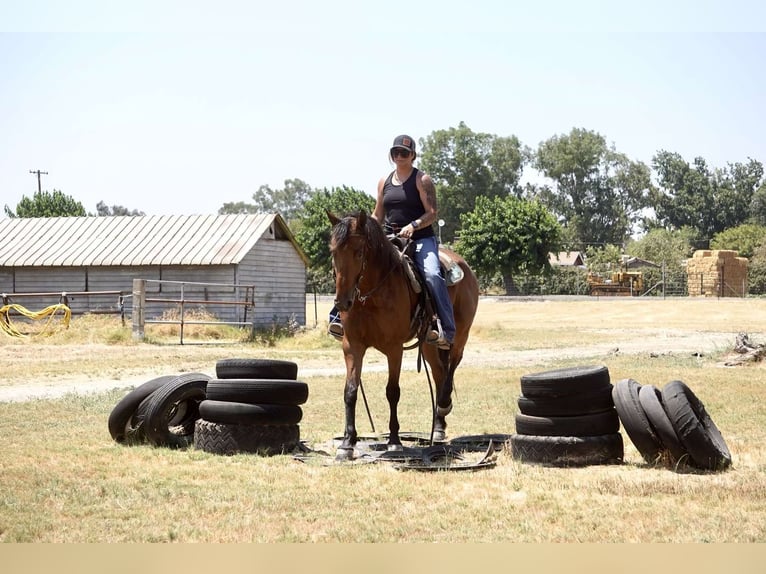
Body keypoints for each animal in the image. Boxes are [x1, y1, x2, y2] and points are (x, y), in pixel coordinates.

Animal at [328, 209, 480, 462]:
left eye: (358, 252)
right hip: (428, 344)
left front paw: (394, 440)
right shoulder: (352, 346)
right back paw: (438, 427)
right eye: (334, 251)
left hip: (460, 334)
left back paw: (444, 404)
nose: (342, 301)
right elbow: (350, 392)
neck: (372, 295)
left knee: (452, 366)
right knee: (439, 373)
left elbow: (392, 392)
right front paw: (347, 444)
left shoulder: (394, 348)